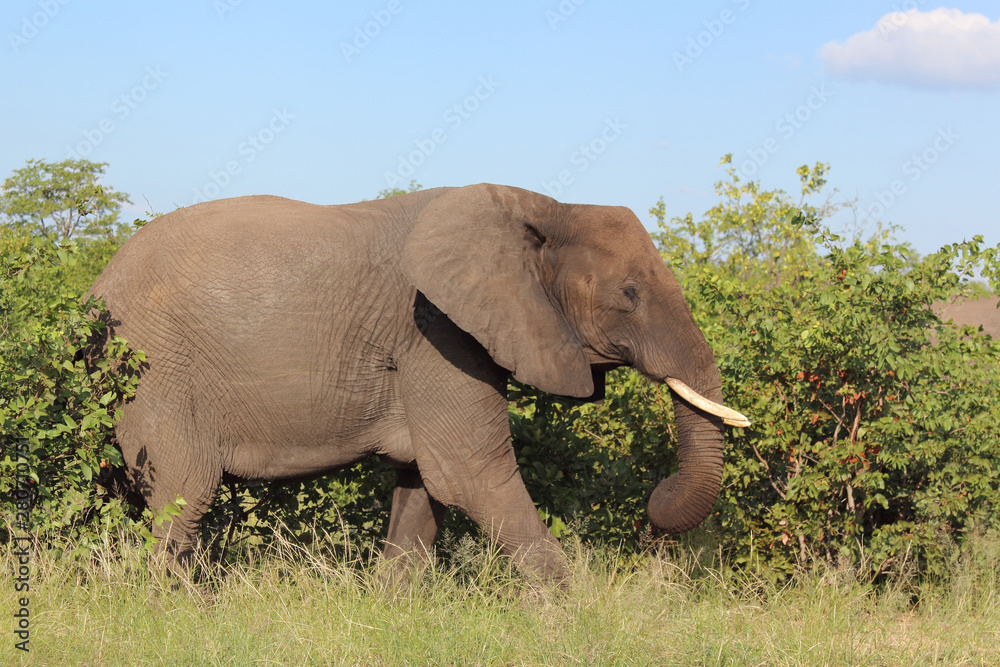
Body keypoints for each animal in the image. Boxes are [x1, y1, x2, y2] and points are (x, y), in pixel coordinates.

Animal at [88, 183, 750, 584]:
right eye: (629, 295)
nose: (656, 497)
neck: (541, 204)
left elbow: (423, 484)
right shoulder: (435, 330)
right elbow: (470, 474)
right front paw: (574, 622)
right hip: (154, 369)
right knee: (186, 493)